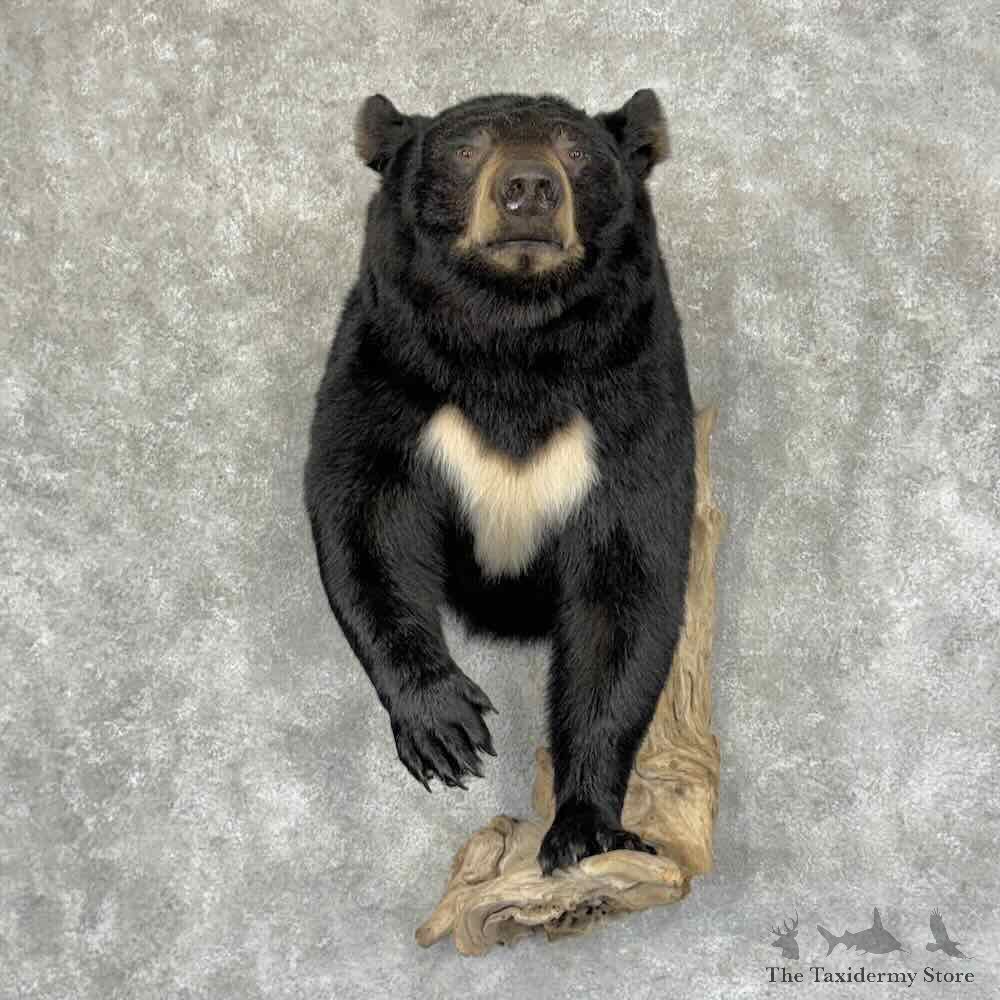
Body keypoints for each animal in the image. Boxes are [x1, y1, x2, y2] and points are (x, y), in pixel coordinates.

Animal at [304, 89, 695, 876]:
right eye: (465, 146)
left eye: (575, 149)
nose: (529, 188)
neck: (513, 340)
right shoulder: (388, 366)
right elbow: (364, 514)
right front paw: (446, 726)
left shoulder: (631, 398)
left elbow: (627, 585)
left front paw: (586, 827)